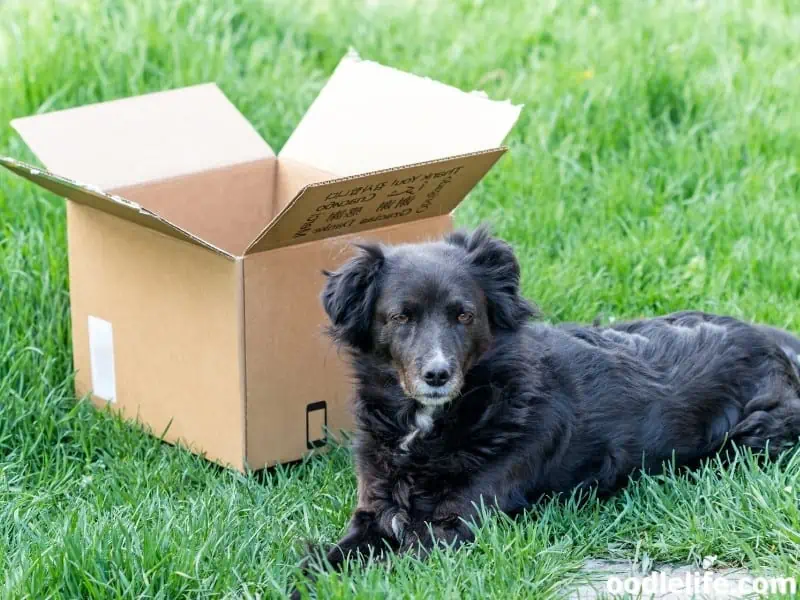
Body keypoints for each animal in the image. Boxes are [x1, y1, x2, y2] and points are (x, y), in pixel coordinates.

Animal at [290, 225, 796, 596]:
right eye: (400, 317)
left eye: (463, 315)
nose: (437, 374)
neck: (438, 423)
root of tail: (768, 340)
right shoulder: (374, 510)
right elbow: (329, 558)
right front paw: (299, 581)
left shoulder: (456, 525)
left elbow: (387, 565)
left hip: (752, 436)